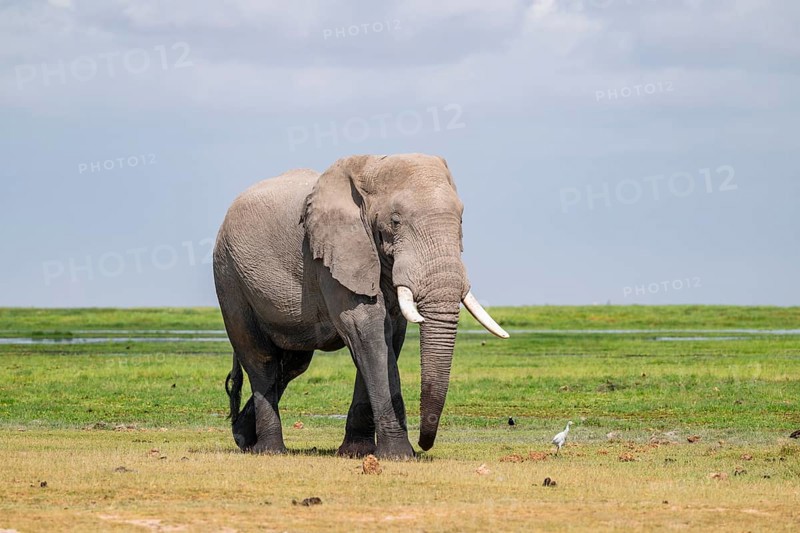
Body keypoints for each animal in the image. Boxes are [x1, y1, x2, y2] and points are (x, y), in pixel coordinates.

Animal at [213, 153, 508, 459]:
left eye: (461, 218)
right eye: (395, 221)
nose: (423, 445)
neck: (369, 167)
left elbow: (390, 335)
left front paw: (356, 452)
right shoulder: (332, 257)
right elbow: (367, 330)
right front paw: (399, 456)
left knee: (294, 363)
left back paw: (244, 438)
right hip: (229, 275)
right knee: (261, 359)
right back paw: (270, 450)